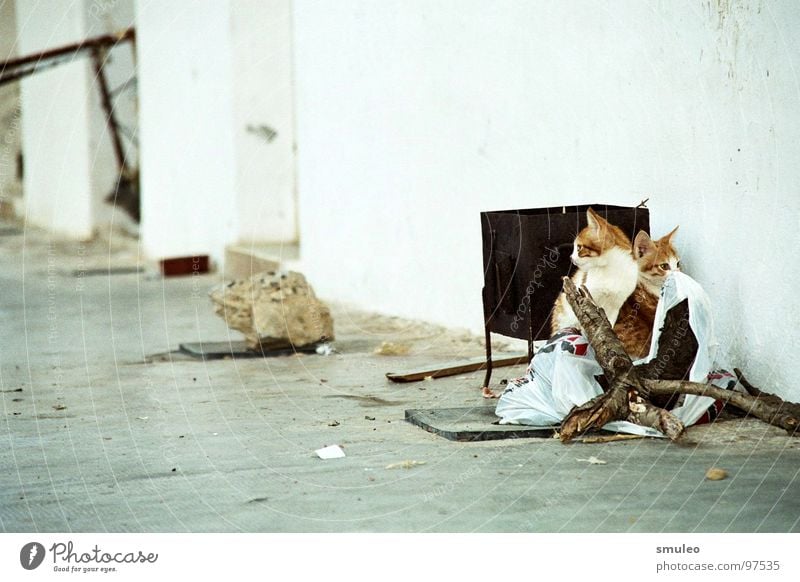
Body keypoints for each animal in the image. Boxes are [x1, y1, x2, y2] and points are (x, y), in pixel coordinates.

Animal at [552, 210, 636, 338]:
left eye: (579, 247)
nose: (571, 257)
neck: (610, 269)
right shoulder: (585, 299)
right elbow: (585, 321)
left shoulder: (615, 306)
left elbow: (608, 323)